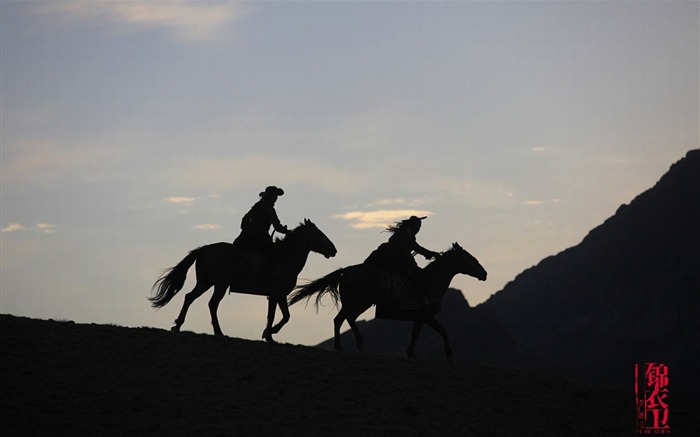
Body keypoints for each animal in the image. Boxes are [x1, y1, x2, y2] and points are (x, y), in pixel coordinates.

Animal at [148, 218, 336, 340]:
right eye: (320, 234)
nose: (334, 250)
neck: (286, 258)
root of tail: (204, 249)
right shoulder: (279, 294)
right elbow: (285, 316)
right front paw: (271, 333)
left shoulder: (273, 296)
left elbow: (272, 315)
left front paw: (269, 335)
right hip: (220, 284)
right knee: (212, 304)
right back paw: (218, 331)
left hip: (205, 282)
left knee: (189, 297)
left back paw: (178, 325)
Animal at [288, 242, 486, 358]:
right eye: (470, 258)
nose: (484, 273)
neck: (431, 280)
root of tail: (346, 271)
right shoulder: (421, 315)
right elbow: (416, 334)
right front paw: (410, 353)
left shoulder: (428, 316)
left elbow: (443, 331)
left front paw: (449, 352)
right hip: (359, 302)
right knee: (342, 319)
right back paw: (345, 345)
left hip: (356, 303)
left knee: (344, 318)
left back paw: (354, 344)